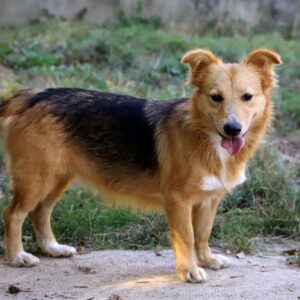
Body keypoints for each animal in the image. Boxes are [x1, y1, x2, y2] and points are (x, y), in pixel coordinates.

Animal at [0, 48, 282, 282]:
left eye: (247, 97)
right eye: (216, 97)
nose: (232, 129)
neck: (203, 136)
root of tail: (35, 96)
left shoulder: (208, 200)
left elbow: (202, 233)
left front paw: (207, 259)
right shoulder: (178, 201)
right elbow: (187, 237)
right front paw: (190, 270)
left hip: (57, 178)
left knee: (40, 212)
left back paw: (52, 248)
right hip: (38, 179)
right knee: (13, 214)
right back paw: (17, 256)